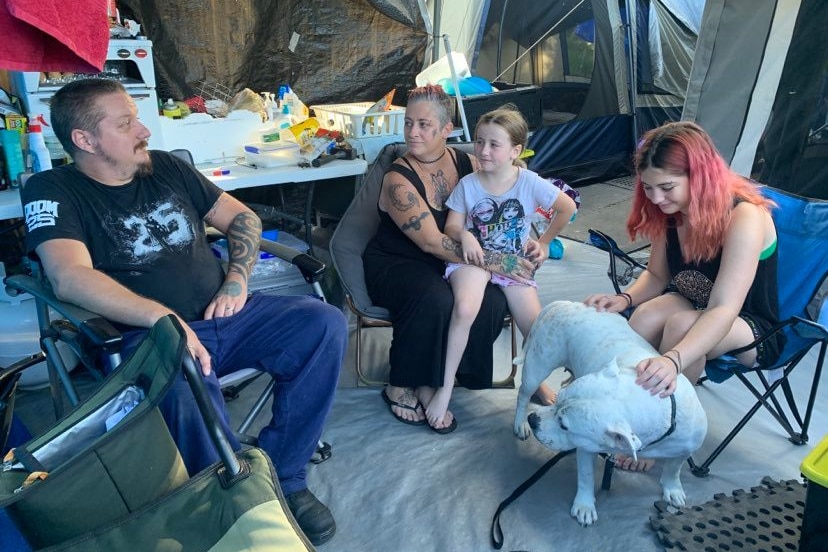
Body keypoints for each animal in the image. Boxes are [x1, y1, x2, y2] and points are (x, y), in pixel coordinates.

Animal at [516, 302, 708, 528]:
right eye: (558, 400)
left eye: (564, 425)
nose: (533, 420)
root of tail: (565, 303)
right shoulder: (587, 446)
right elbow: (586, 476)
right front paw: (584, 505)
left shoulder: (686, 447)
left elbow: (674, 468)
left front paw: (673, 489)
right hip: (537, 368)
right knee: (523, 394)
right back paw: (519, 423)